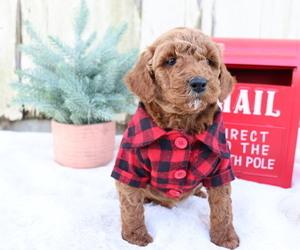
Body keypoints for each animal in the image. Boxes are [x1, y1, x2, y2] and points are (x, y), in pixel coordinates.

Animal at [111, 26, 240, 249]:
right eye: (170, 61)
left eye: (209, 61)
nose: (199, 83)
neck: (183, 123)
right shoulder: (129, 164)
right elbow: (131, 204)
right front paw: (135, 236)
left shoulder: (221, 166)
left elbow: (223, 205)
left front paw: (225, 237)